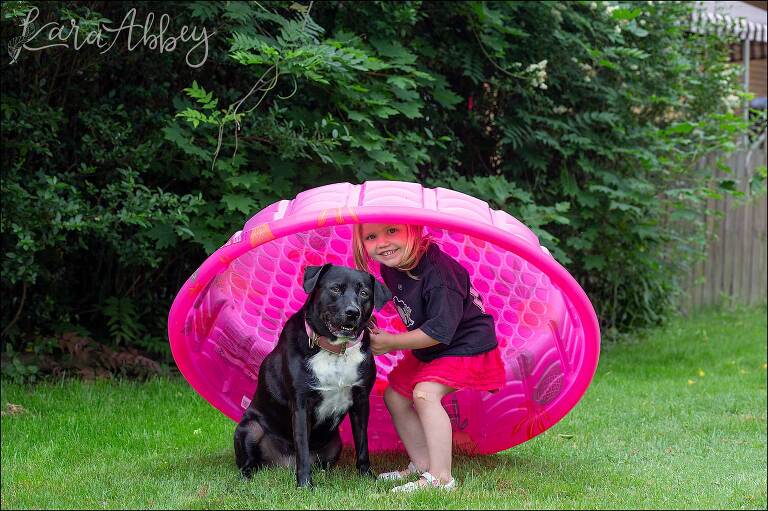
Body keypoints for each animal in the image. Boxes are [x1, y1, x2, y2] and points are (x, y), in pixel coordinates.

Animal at [232, 264, 390, 488]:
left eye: (364, 293)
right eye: (335, 288)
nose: (353, 312)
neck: (335, 350)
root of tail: (283, 465)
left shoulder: (360, 401)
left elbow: (362, 444)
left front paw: (367, 476)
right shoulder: (301, 404)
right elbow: (303, 448)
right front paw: (305, 485)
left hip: (335, 443)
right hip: (249, 428)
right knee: (249, 463)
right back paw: (247, 477)